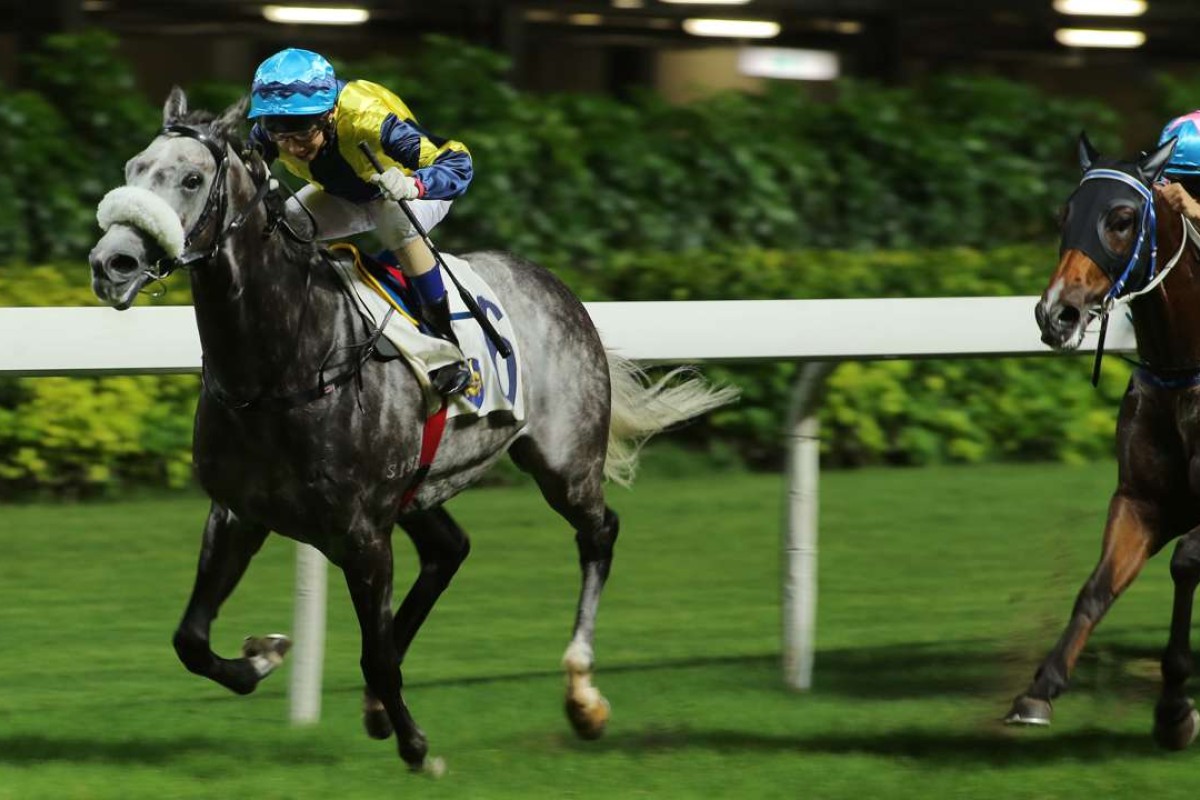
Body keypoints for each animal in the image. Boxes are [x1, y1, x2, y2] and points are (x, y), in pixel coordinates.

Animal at [84, 90, 734, 772]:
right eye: (133, 168)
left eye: (191, 179)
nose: (113, 263)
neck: (284, 365)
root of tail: (557, 287)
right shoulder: (240, 511)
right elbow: (190, 639)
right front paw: (264, 656)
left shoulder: (362, 533)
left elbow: (373, 652)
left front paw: (419, 747)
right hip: (420, 490)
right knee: (450, 550)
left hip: (565, 461)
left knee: (598, 533)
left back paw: (582, 696)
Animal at [1008, 133, 1200, 753]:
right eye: (1063, 216)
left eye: (1120, 219)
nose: (1056, 313)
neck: (1186, 369)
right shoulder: (1141, 500)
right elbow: (1096, 588)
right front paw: (1039, 690)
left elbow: (1185, 562)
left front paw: (1175, 708)